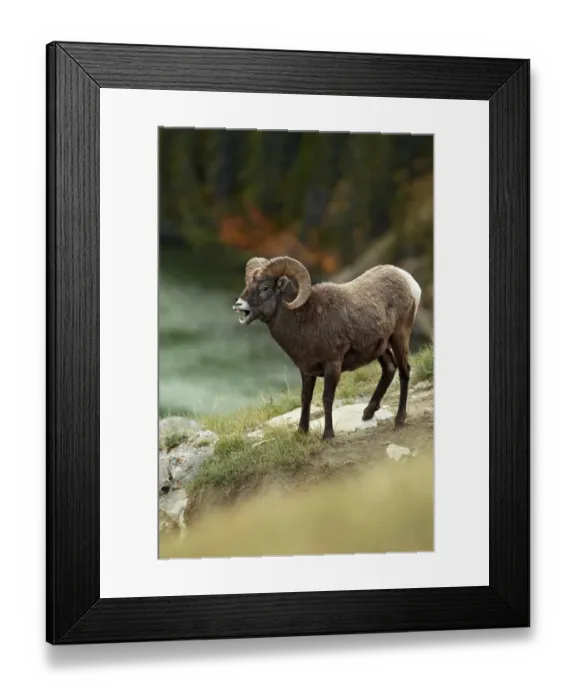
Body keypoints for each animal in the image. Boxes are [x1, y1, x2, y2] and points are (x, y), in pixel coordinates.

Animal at [232, 256, 422, 441]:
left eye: (264, 287)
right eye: (247, 284)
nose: (239, 305)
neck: (305, 320)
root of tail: (408, 280)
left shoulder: (332, 365)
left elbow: (327, 399)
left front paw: (328, 435)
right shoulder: (307, 371)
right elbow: (305, 398)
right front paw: (301, 432)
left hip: (399, 338)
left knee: (404, 371)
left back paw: (399, 420)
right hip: (381, 348)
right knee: (389, 368)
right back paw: (367, 413)